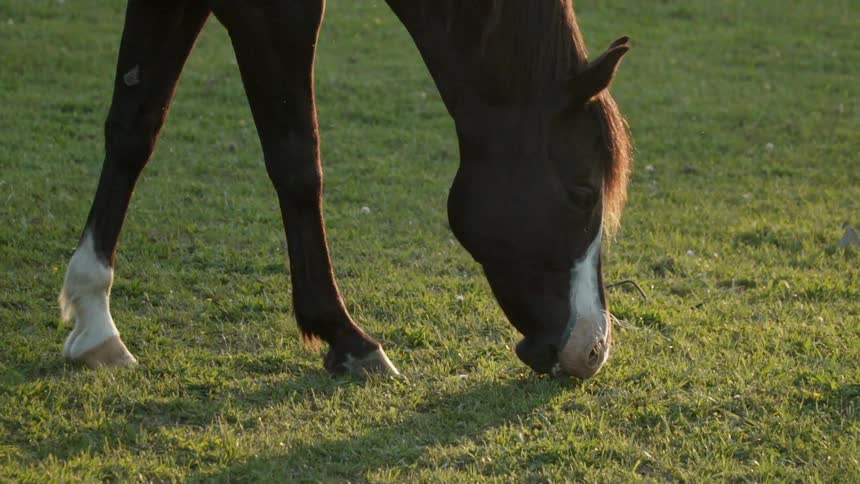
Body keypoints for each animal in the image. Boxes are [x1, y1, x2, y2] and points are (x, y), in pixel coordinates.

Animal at [58, 0, 632, 379]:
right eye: (584, 191)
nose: (592, 349)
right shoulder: (273, 11)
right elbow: (297, 161)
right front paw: (346, 335)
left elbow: (134, 129)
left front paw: (93, 315)